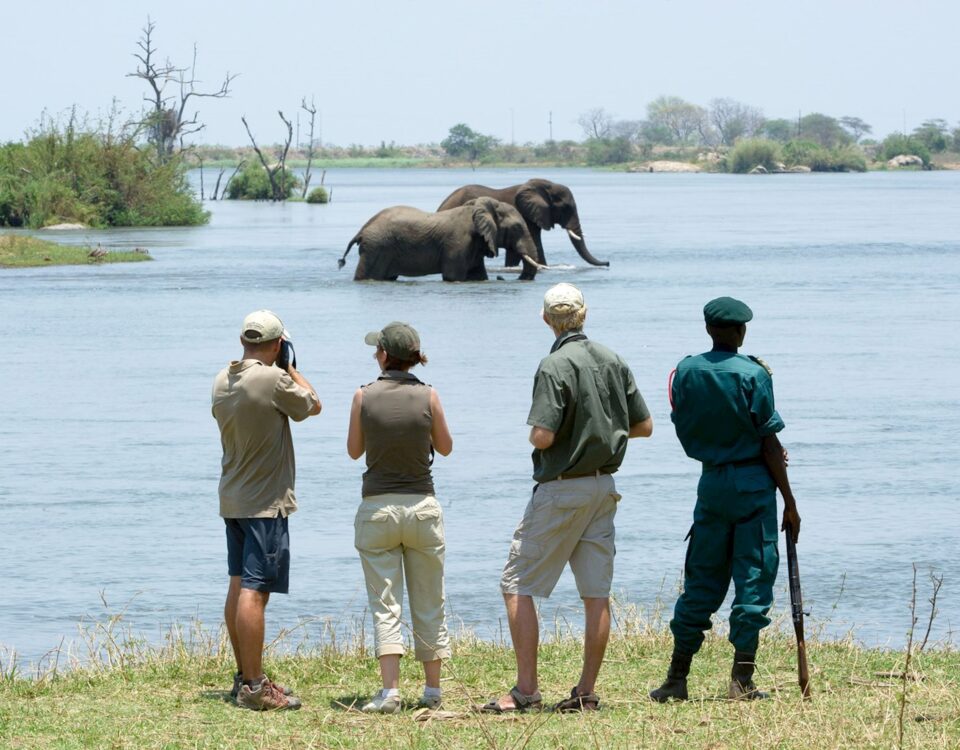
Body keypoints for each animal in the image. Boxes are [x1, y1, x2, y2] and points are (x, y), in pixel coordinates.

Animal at [338, 197, 545, 281]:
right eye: (517, 228)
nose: (502, 277)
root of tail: (363, 230)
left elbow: (478, 276)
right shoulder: (459, 243)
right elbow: (453, 277)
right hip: (376, 248)